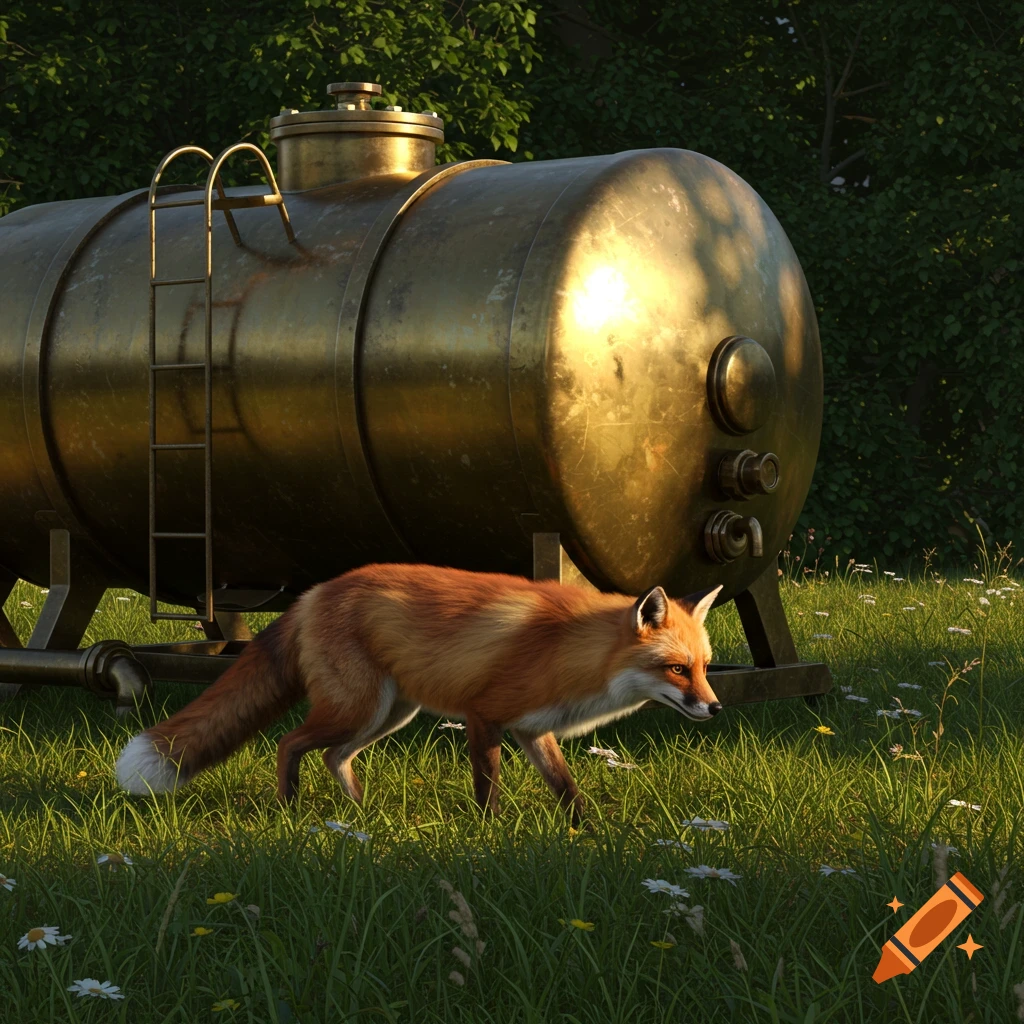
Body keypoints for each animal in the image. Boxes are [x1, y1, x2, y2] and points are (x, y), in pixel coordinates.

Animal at [115, 563, 724, 822]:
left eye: (705, 668)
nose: (715, 707)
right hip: (358, 708)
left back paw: (360, 813)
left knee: (335, 757)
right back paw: (289, 810)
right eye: (676, 669)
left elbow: (567, 787)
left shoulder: (534, 730)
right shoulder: (484, 716)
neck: (569, 650)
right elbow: (487, 786)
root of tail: (313, 594)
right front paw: (489, 832)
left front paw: (587, 831)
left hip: (388, 714)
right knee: (290, 742)